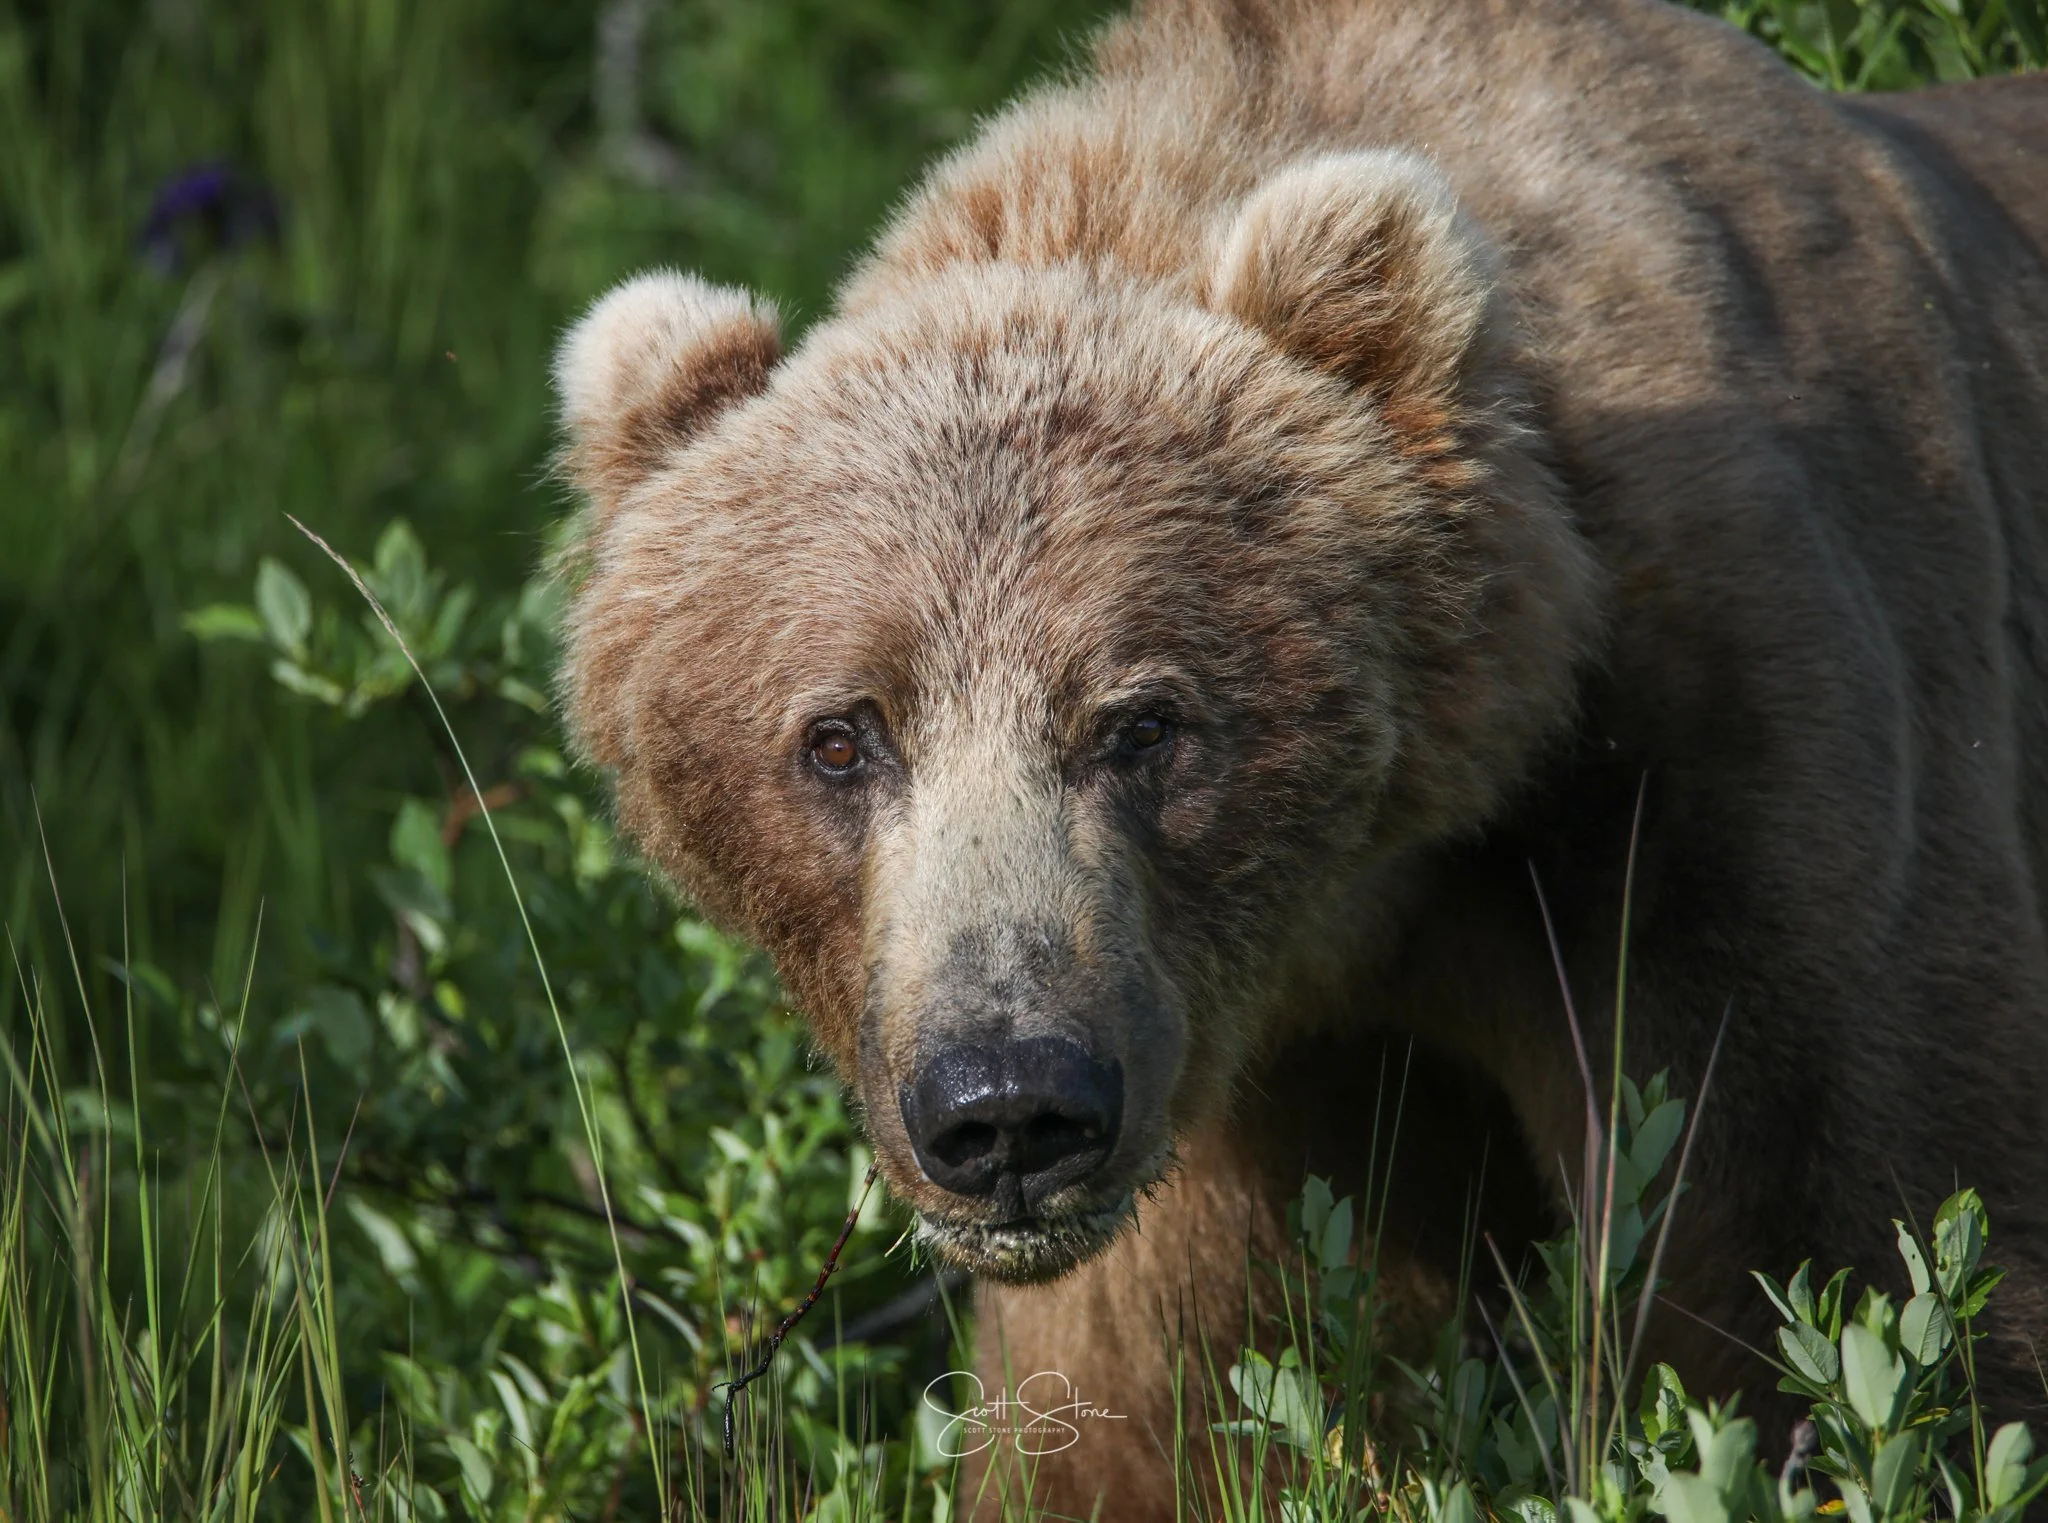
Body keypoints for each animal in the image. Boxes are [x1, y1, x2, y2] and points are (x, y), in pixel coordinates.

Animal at [552, 0, 2048, 1515]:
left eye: (1142, 719)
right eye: (842, 734)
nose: (1007, 1103)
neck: (1366, 892)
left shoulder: (1726, 792)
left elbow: (1831, 1268)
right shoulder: (1239, 1097)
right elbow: (1158, 1402)